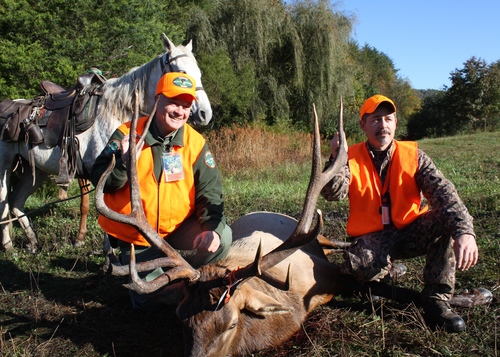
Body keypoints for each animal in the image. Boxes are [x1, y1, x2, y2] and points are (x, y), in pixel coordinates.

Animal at [0, 32, 212, 250]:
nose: (205, 114)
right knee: (4, 203)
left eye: (199, 73)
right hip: (4, 166)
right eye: (181, 72)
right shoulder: (101, 170)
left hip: (35, 170)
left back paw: (32, 242)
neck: (118, 109)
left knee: (16, 202)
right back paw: (8, 246)